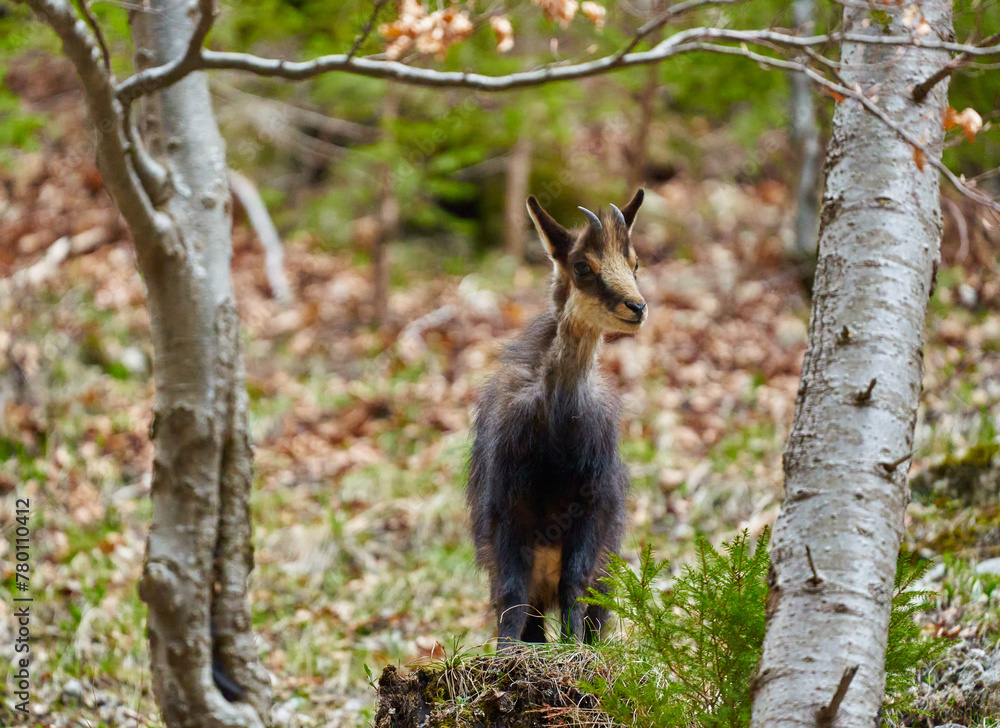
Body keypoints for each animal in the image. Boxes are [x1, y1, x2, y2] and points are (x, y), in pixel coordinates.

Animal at [467, 190, 646, 650]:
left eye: (634, 262)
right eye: (582, 265)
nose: (637, 307)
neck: (559, 426)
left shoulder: (592, 505)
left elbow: (575, 583)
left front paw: (574, 647)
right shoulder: (508, 505)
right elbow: (511, 592)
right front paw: (505, 654)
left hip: (606, 570)